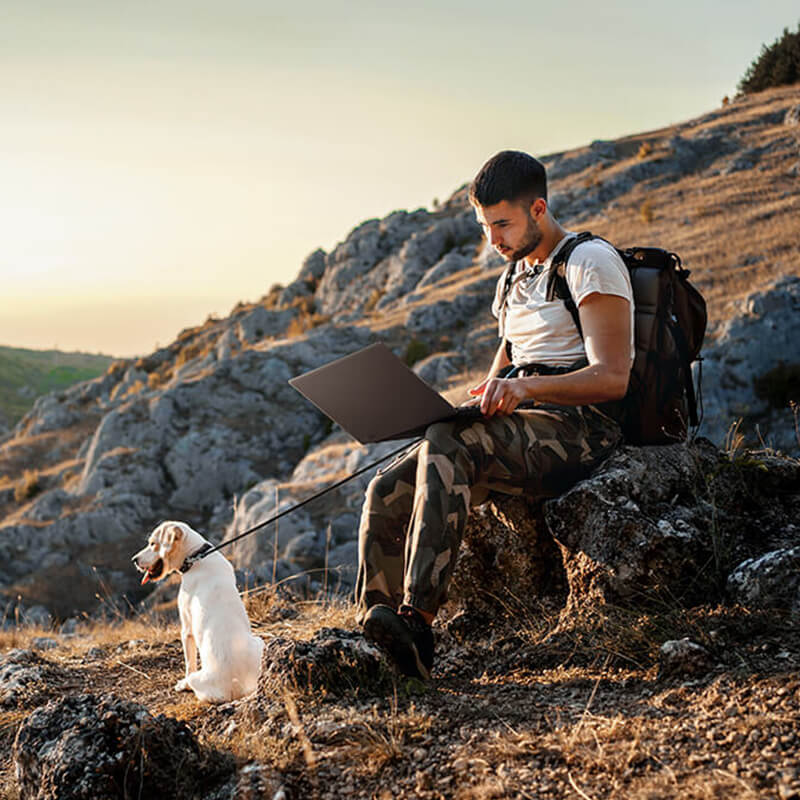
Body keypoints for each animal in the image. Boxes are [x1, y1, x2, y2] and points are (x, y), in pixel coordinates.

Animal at [133, 520, 264, 704]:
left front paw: (183, 684)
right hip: (260, 642)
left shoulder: (186, 630)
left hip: (198, 677)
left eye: (152, 543)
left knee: (193, 677)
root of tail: (237, 685)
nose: (134, 560)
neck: (195, 557)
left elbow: (189, 663)